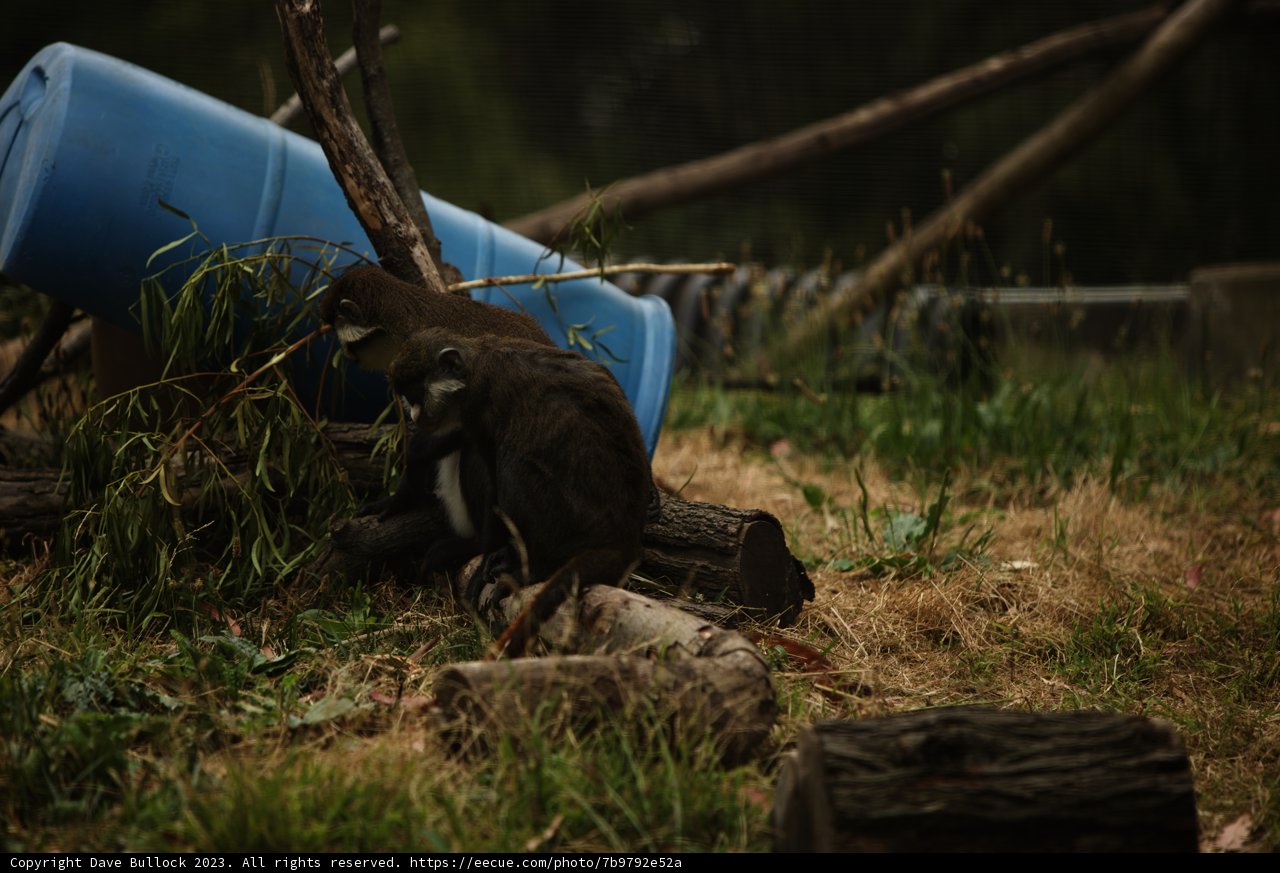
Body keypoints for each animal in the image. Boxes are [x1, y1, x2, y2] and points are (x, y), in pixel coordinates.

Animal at [385, 327, 652, 653]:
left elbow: (490, 467)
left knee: (511, 462)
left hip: (563, 522)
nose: (414, 416)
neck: (475, 362)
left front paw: (482, 553)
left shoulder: (481, 404)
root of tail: (622, 539)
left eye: (417, 395)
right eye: (409, 398)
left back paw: (533, 569)